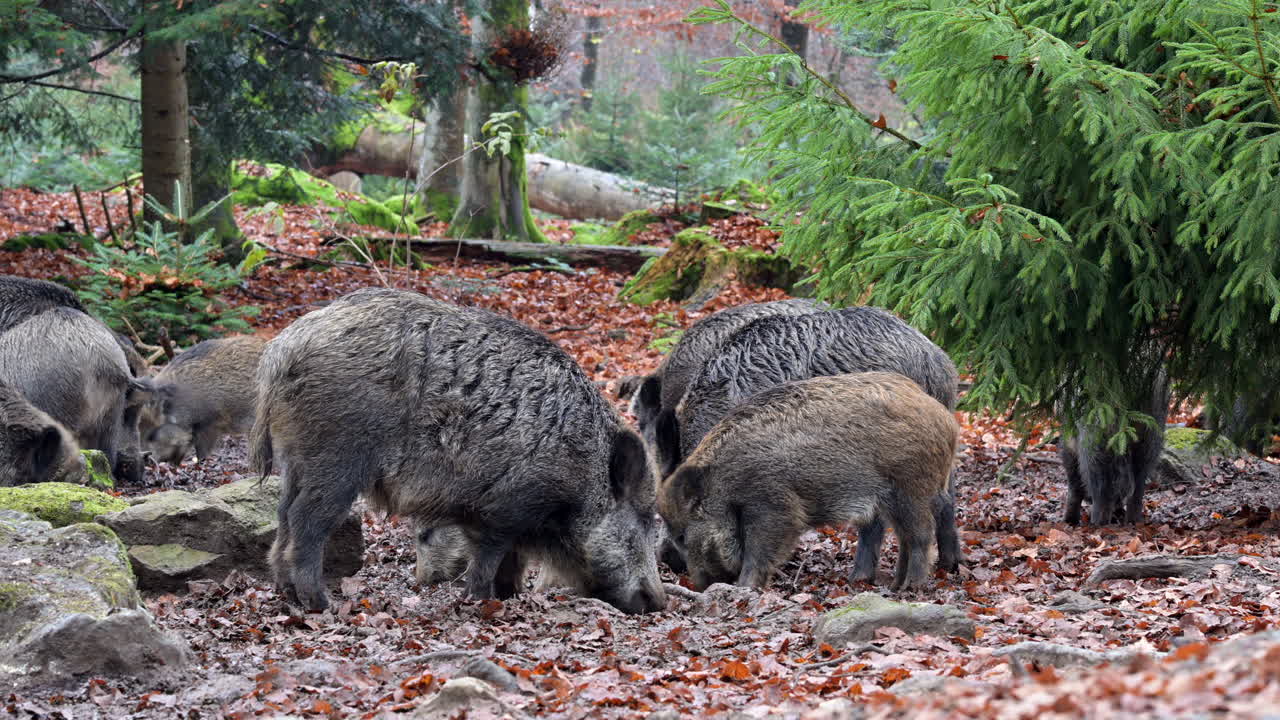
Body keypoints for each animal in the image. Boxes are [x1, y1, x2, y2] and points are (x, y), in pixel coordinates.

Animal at [251, 288, 666, 614]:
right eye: (643, 520)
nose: (659, 602)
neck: (582, 466)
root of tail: (282, 349)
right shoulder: (507, 506)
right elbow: (491, 556)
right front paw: (480, 600)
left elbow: (511, 562)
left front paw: (510, 597)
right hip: (337, 456)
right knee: (306, 520)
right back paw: (321, 604)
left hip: (296, 459)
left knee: (283, 515)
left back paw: (286, 593)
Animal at [654, 306, 962, 582]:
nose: (667, 559)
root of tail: (936, 360)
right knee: (945, 500)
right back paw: (948, 566)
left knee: (881, 520)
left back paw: (861, 577)